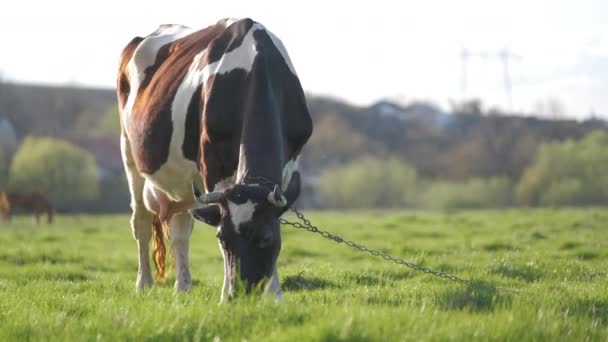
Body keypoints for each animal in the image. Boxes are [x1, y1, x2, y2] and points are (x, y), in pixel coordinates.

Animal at [116, 18, 314, 302]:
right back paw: (144, 283)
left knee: (180, 231)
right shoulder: (212, 165)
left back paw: (183, 287)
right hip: (130, 154)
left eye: (265, 238)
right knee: (141, 221)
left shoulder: (290, 164)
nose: (240, 294)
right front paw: (224, 295)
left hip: (182, 184)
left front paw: (275, 296)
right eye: (222, 238)